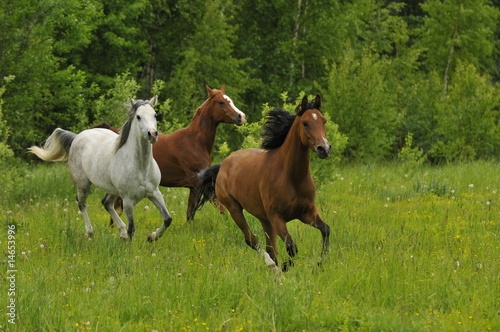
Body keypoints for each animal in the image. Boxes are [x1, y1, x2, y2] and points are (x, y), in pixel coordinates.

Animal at [30, 96, 174, 241]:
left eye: (155, 115)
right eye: (138, 116)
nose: (152, 134)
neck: (141, 167)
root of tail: (77, 137)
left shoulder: (154, 192)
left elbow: (168, 219)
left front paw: (152, 236)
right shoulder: (128, 200)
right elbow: (132, 230)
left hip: (113, 189)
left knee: (106, 203)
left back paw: (121, 233)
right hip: (83, 185)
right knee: (82, 203)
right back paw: (90, 232)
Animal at [198, 94, 332, 272]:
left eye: (324, 121)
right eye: (305, 123)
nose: (324, 149)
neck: (291, 178)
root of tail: (224, 165)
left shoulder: (307, 213)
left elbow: (325, 230)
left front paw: (319, 265)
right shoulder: (277, 218)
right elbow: (291, 247)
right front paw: (285, 267)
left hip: (264, 219)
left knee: (270, 247)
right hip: (234, 209)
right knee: (252, 241)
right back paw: (273, 267)